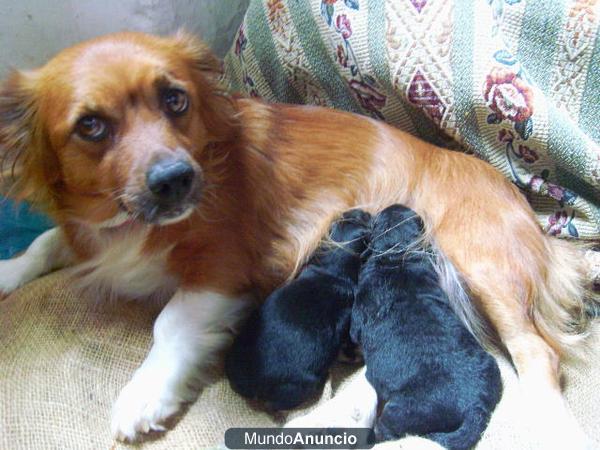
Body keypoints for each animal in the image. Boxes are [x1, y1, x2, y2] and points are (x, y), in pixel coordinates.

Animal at [225, 209, 370, 410]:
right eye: (363, 219)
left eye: (349, 217)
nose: (361, 210)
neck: (331, 269)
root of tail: (252, 387)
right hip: (301, 385)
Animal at [352, 205, 502, 450]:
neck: (398, 254)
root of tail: (475, 407)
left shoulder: (360, 307)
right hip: (492, 369)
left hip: (402, 410)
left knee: (387, 430)